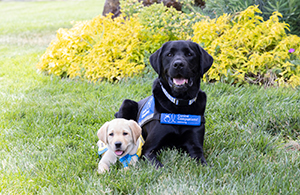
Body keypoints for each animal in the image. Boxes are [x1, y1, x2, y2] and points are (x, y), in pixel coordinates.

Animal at [115, 40, 213, 168]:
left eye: (189, 54)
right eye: (169, 54)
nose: (178, 64)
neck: (179, 105)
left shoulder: (196, 147)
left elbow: (202, 163)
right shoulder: (148, 149)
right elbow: (158, 166)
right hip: (127, 103)